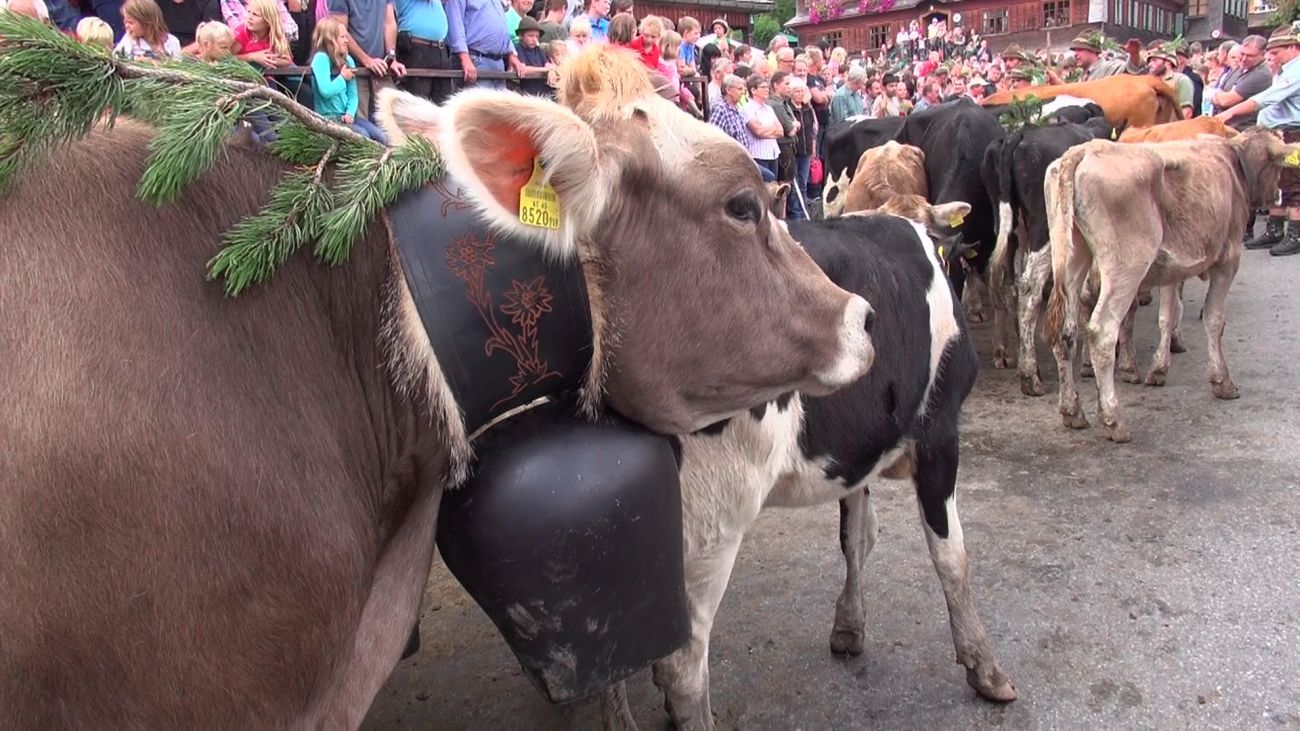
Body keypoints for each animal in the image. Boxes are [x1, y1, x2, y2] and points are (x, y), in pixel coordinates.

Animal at [593, 211, 1014, 731]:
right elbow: (952, 556)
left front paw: (849, 627)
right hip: (710, 519)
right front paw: (984, 666)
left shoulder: (857, 453)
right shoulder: (940, 432)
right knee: (682, 664)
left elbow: (857, 537)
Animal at [983, 116, 1119, 392]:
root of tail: (1020, 135)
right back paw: (1030, 376)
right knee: (1029, 287)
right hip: (1043, 227)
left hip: (1010, 228)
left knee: (1010, 284)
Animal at [1041, 128, 1298, 442]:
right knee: (1102, 332)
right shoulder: (1228, 260)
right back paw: (1114, 419)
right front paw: (1221, 381)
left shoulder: (1172, 270)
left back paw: (1072, 412)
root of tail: (1084, 150)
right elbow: (1214, 319)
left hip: (1072, 258)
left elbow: (1168, 315)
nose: (1278, 195)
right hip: (1126, 267)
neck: (1231, 162)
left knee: (1066, 332)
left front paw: (1159, 368)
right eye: (1278, 165)